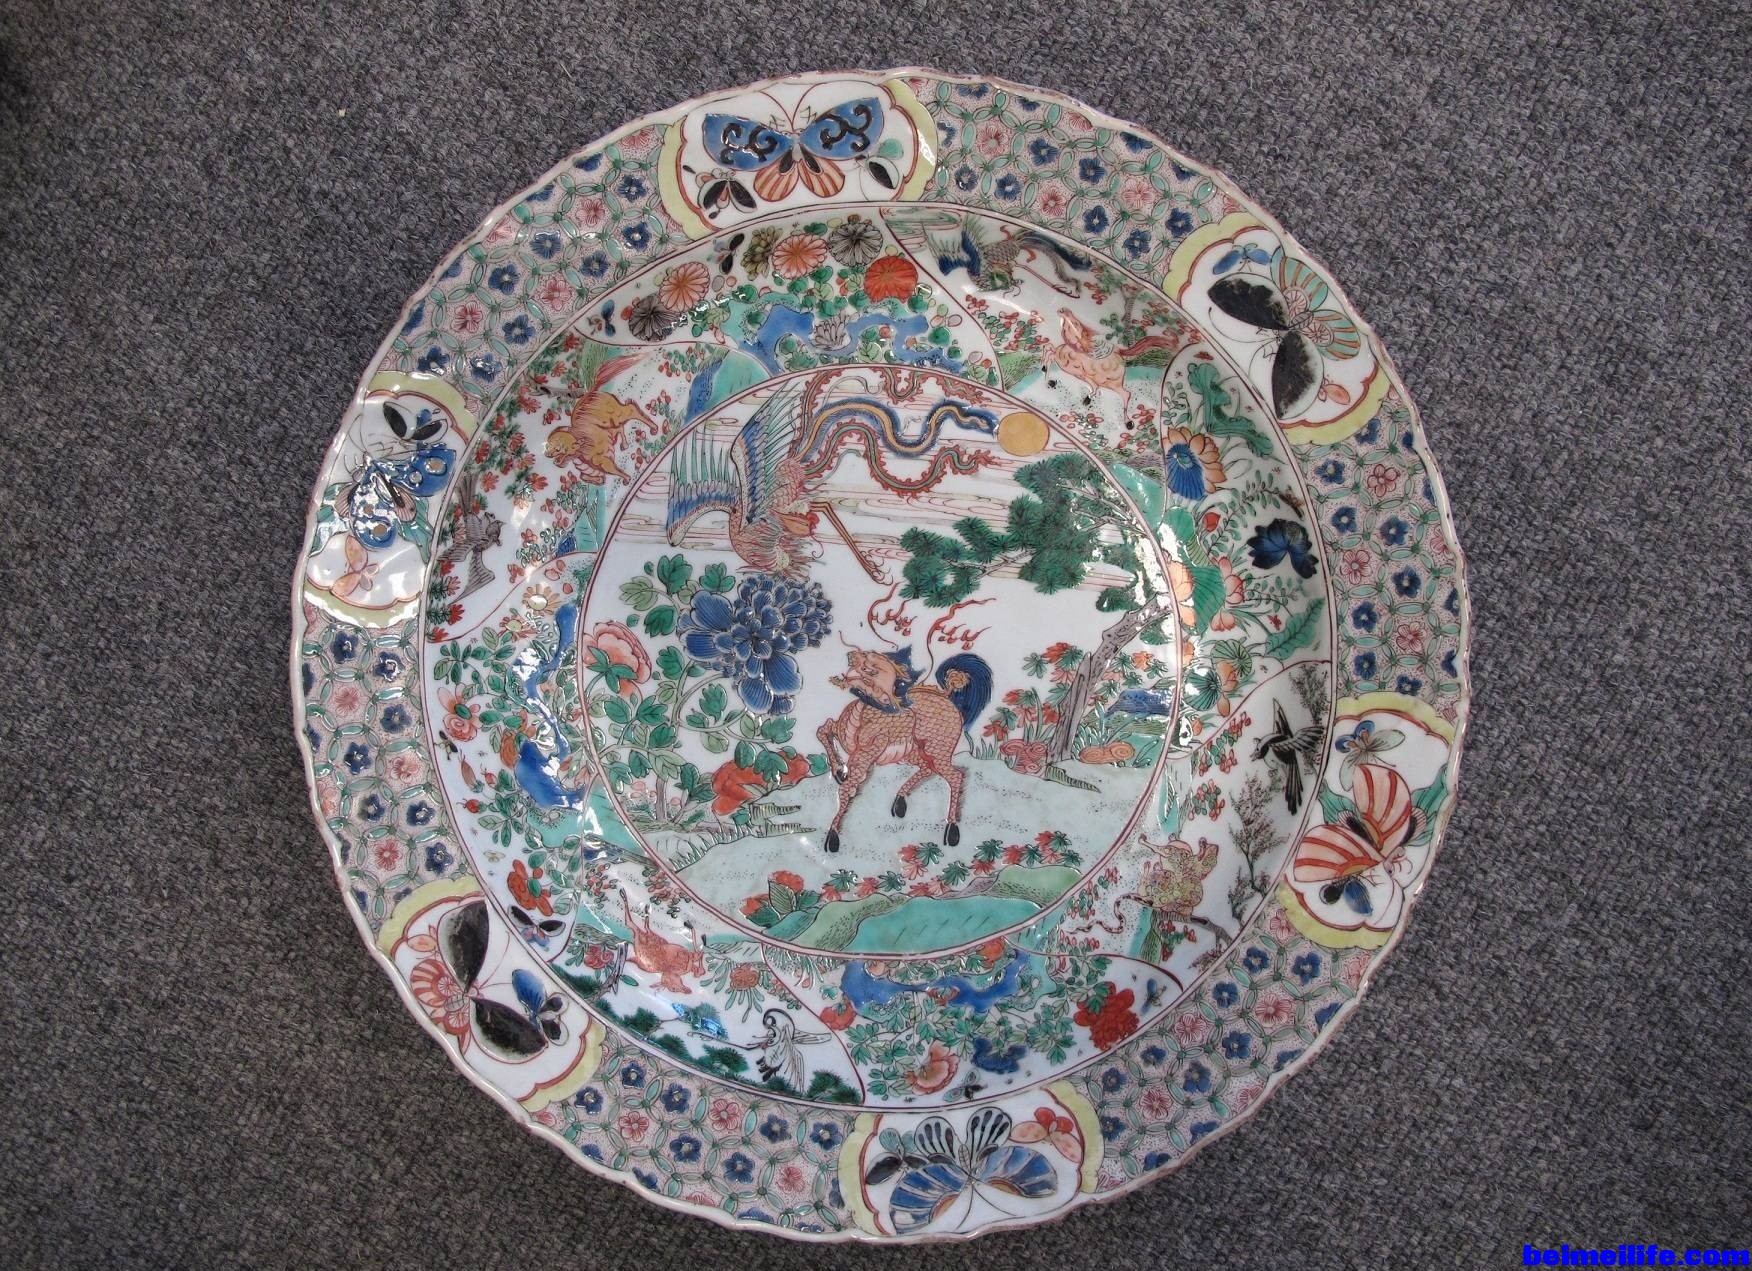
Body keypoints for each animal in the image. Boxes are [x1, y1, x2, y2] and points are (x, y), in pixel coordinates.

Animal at [815, 646, 991, 853]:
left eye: (869, 660)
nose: (849, 655)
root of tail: (948, 697)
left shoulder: (865, 756)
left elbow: (846, 789)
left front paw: (833, 837)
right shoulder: (843, 737)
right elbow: (823, 730)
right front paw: (838, 771)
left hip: (937, 751)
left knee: (955, 776)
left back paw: (952, 831)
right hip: (914, 753)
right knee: (928, 768)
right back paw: (900, 802)